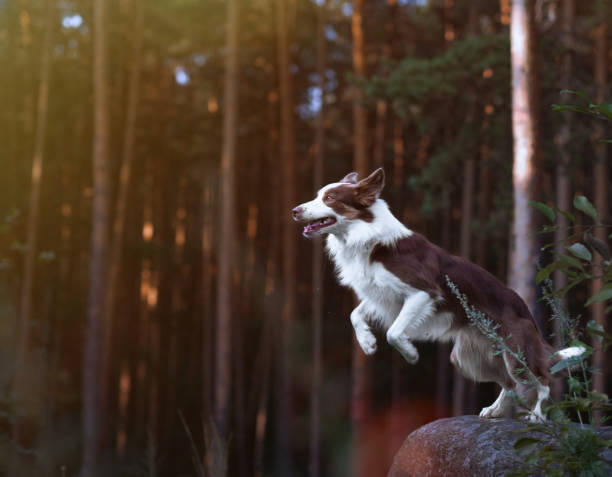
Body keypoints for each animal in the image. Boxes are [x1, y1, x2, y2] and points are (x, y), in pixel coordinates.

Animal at [294, 168, 584, 420]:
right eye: (318, 195)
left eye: (330, 198)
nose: (295, 211)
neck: (367, 236)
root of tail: (527, 312)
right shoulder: (382, 295)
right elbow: (355, 314)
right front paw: (366, 342)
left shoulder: (422, 293)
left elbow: (394, 332)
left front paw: (410, 353)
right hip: (468, 358)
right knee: (509, 384)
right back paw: (494, 411)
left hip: (516, 353)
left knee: (543, 379)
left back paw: (537, 415)